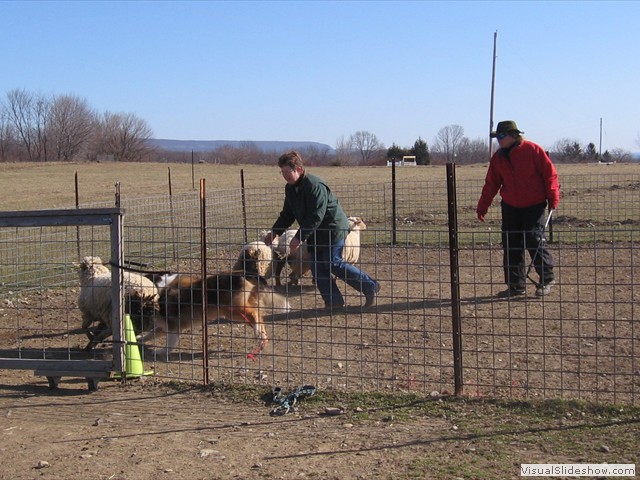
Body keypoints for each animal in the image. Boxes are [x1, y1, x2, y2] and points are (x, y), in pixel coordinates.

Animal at [141, 272, 292, 358]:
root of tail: (243, 275)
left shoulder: (173, 326)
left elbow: (169, 343)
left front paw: (161, 352)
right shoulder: (164, 326)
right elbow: (150, 334)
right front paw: (138, 339)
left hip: (233, 311)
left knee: (254, 314)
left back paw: (257, 332)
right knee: (260, 317)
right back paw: (261, 337)